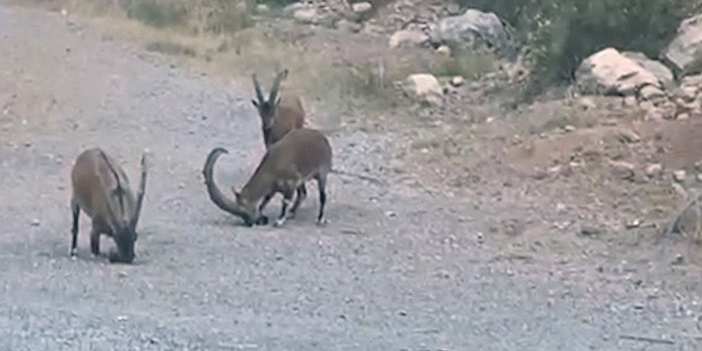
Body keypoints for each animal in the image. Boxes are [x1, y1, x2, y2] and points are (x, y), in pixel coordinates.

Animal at [204, 128, 332, 227]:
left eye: (245, 211)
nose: (252, 223)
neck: (271, 169)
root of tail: (323, 138)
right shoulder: (274, 188)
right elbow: (264, 201)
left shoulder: (291, 183)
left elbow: (285, 201)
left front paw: (279, 221)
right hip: (302, 180)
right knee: (303, 193)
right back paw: (292, 213)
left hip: (322, 172)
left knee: (322, 196)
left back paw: (320, 219)